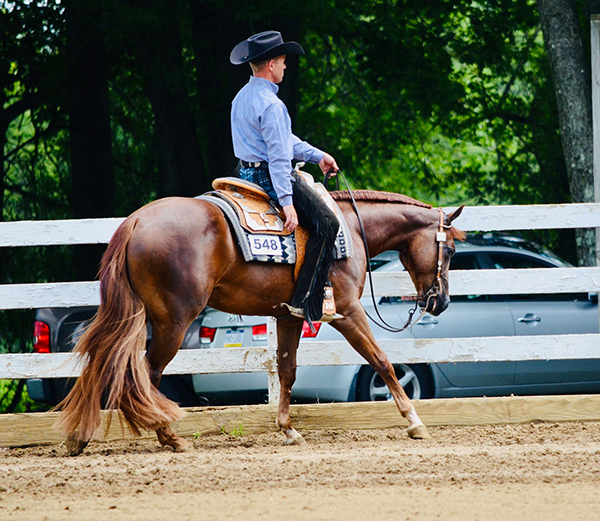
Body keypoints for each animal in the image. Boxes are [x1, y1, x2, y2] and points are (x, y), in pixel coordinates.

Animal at [54, 188, 464, 456]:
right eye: (451, 250)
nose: (441, 301)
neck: (349, 229)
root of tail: (137, 221)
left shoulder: (289, 317)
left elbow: (287, 370)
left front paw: (288, 429)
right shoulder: (347, 312)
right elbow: (382, 361)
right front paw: (414, 422)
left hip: (133, 316)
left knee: (105, 363)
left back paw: (79, 437)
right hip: (171, 321)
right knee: (147, 373)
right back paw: (169, 437)